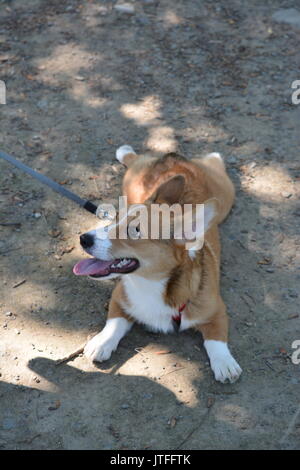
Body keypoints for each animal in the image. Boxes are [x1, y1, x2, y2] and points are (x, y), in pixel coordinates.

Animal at [74, 146, 243, 382]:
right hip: (131, 181)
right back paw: (125, 152)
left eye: (135, 230)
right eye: (114, 219)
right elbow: (114, 322)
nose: (84, 239)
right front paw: (101, 343)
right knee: (134, 159)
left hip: (225, 195)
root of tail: (173, 160)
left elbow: (216, 339)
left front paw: (225, 364)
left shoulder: (216, 310)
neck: (151, 284)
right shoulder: (119, 299)